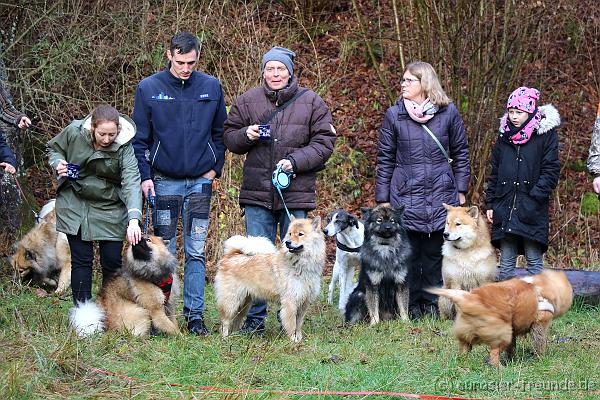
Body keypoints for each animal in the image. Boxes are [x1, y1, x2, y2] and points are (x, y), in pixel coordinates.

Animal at [426, 270, 572, 368]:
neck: (545, 284)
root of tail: (470, 298)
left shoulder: (514, 331)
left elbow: (512, 347)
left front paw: (512, 358)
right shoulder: (540, 324)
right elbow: (539, 343)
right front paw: (539, 358)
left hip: (467, 334)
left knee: (464, 349)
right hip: (502, 335)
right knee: (494, 355)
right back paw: (499, 367)